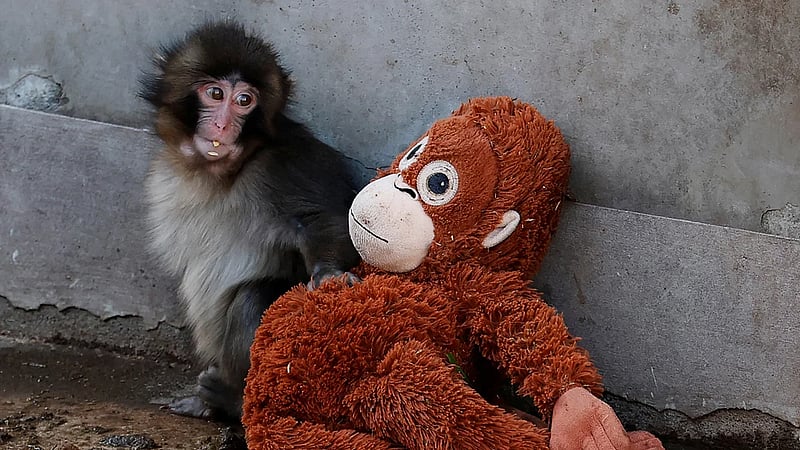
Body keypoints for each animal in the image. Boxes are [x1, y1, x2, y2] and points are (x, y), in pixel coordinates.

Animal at [139, 22, 361, 421]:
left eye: (245, 101)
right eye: (215, 93)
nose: (223, 124)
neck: (220, 173)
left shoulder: (286, 164)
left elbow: (326, 219)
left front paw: (329, 274)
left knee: (252, 300)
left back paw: (231, 400)